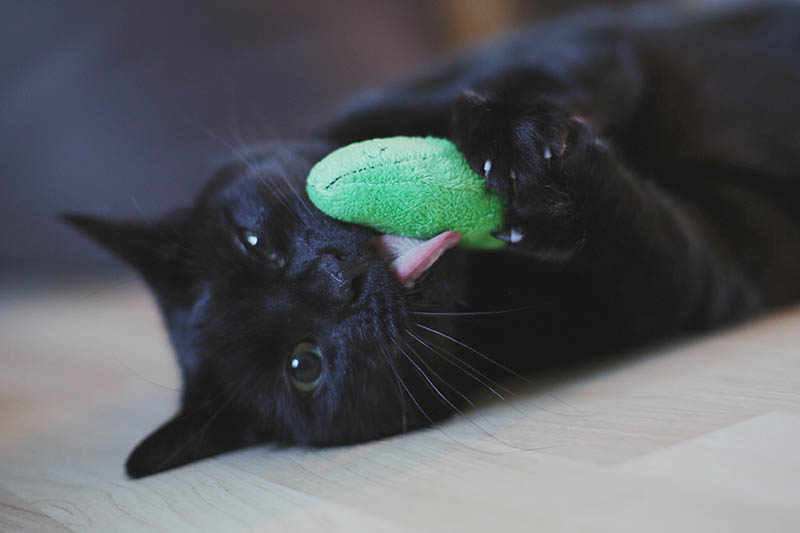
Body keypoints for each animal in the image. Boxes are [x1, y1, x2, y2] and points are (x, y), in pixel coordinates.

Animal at [65, 3, 800, 478]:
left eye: (256, 243)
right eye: (304, 366)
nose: (335, 280)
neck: (500, 282)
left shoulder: (569, 48)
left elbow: (559, 74)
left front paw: (511, 143)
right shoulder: (713, 270)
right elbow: (633, 229)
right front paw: (543, 190)